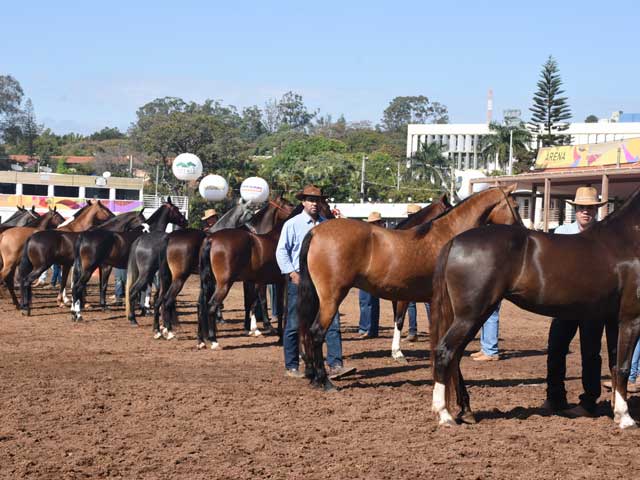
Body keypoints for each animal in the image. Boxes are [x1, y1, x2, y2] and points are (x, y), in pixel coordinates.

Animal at [124, 195, 256, 334]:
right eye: (251, 214)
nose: (185, 221)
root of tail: (140, 239)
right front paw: (219, 318)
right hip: (148, 274)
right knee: (134, 292)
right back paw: (134, 320)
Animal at [196, 197, 296, 350]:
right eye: (289, 204)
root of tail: (211, 239)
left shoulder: (251, 281)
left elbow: (250, 301)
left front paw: (251, 328)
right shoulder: (264, 282)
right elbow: (261, 300)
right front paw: (265, 327)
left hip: (207, 282)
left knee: (201, 305)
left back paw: (201, 340)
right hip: (222, 283)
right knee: (211, 304)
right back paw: (213, 339)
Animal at [428, 186, 640, 430]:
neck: (626, 240)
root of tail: (454, 241)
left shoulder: (614, 320)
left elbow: (615, 365)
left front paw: (618, 413)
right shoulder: (631, 319)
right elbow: (623, 366)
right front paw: (626, 418)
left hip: (471, 316)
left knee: (455, 356)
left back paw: (465, 412)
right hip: (470, 316)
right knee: (445, 352)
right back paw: (444, 415)